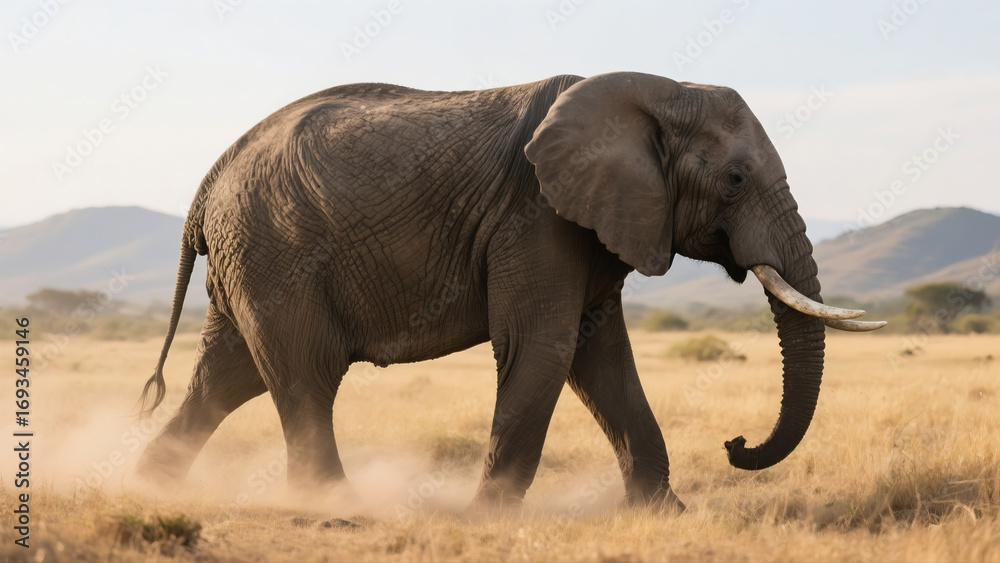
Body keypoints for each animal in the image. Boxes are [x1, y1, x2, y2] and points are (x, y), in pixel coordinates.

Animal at [136, 72, 884, 510]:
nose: (735, 443)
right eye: (733, 181)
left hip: (253, 258)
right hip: (276, 252)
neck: (658, 90)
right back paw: (332, 505)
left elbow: (602, 361)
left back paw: (148, 483)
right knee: (304, 374)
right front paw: (487, 518)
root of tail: (210, 180)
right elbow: (543, 348)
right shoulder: (535, 215)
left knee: (229, 375)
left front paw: (664, 515)